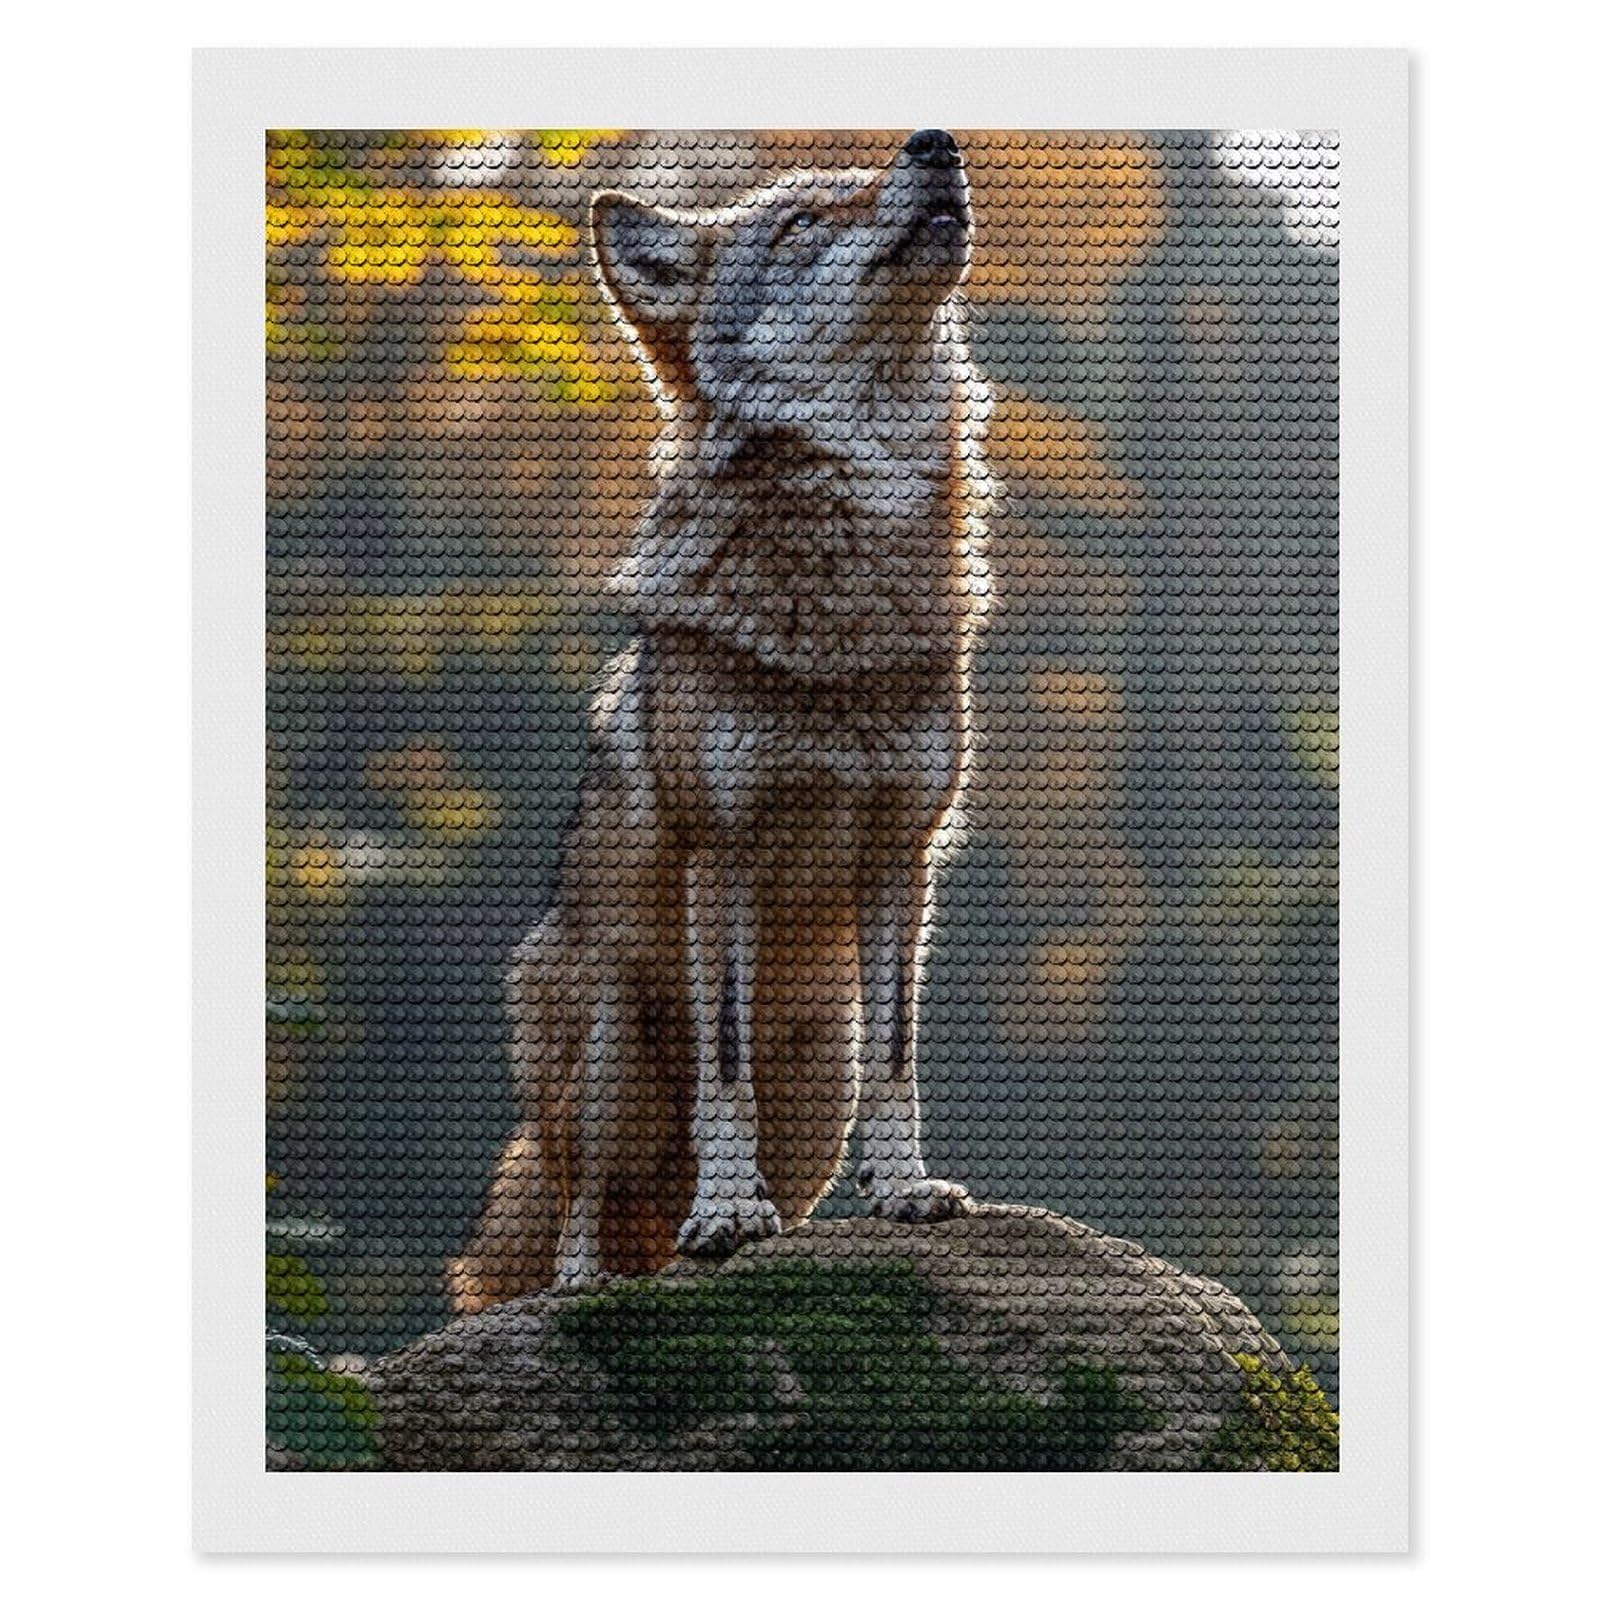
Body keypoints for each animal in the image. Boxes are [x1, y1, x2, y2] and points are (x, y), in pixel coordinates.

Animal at [449, 129, 993, 1311]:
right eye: (801, 224)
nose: (935, 143)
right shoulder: (723, 853)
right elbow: (724, 1064)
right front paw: (728, 1211)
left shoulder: (902, 853)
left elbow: (900, 1057)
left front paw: (907, 1191)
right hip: (606, 1043)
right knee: (580, 1214)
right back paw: (600, 1278)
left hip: (821, 1077)